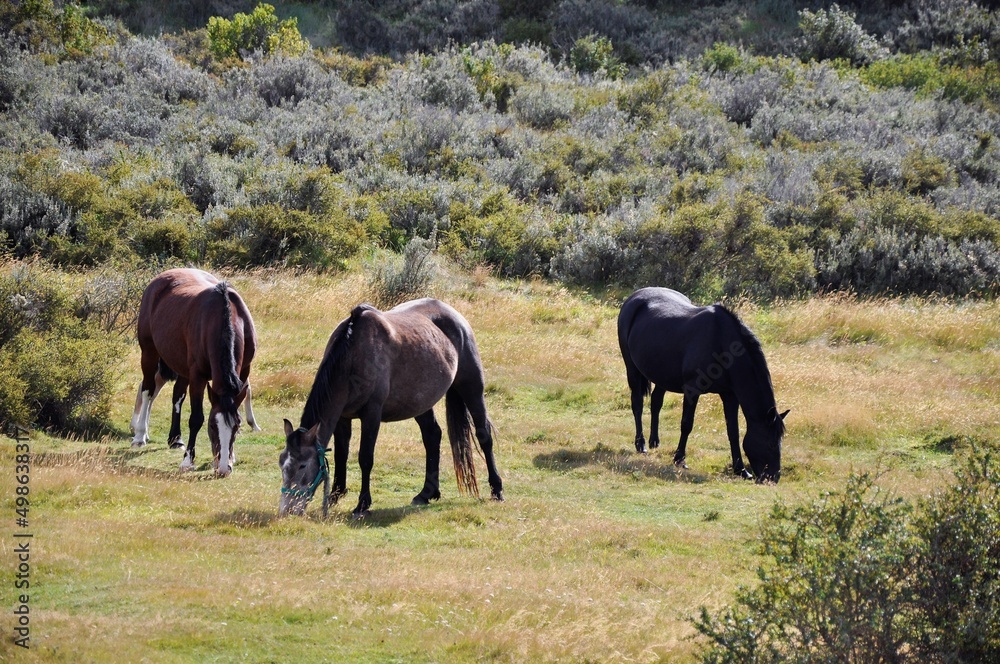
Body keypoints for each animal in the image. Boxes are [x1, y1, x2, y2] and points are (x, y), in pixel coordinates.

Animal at [129, 268, 260, 474]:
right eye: (212, 426)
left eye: (236, 426)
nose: (224, 468)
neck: (225, 316)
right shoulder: (198, 376)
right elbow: (196, 418)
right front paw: (188, 461)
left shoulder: (243, 371)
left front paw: (232, 456)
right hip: (149, 353)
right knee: (148, 390)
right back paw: (140, 435)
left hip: (182, 365)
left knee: (177, 396)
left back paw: (175, 439)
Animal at [278, 296, 504, 520]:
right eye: (282, 463)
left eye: (303, 465)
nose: (287, 510)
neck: (352, 353)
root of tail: (455, 316)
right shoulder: (342, 416)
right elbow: (341, 454)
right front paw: (335, 495)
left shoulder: (371, 414)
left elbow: (365, 458)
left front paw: (362, 504)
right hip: (420, 402)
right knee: (432, 436)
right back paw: (426, 493)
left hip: (471, 389)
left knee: (483, 435)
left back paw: (497, 489)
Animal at [616, 286, 788, 482]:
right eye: (771, 444)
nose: (773, 478)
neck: (721, 343)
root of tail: (634, 297)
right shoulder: (693, 390)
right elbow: (686, 424)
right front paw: (679, 459)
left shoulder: (730, 396)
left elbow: (733, 432)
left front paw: (741, 470)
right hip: (632, 369)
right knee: (637, 403)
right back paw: (641, 444)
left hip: (662, 375)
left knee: (656, 402)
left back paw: (654, 441)